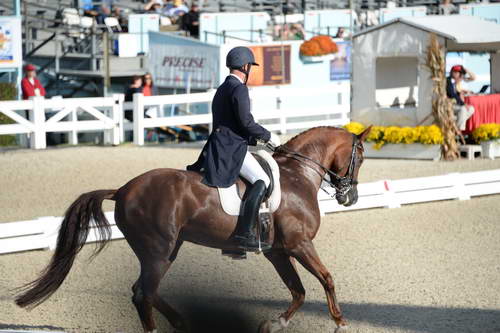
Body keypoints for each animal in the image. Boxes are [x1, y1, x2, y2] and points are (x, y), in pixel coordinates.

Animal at [16, 126, 372, 332]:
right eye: (362, 156)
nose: (350, 197)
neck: (298, 175)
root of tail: (123, 190)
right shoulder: (300, 244)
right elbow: (326, 279)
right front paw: (340, 322)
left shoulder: (278, 251)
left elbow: (297, 290)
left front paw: (275, 323)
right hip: (158, 251)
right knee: (143, 294)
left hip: (166, 250)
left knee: (144, 291)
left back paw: (180, 322)